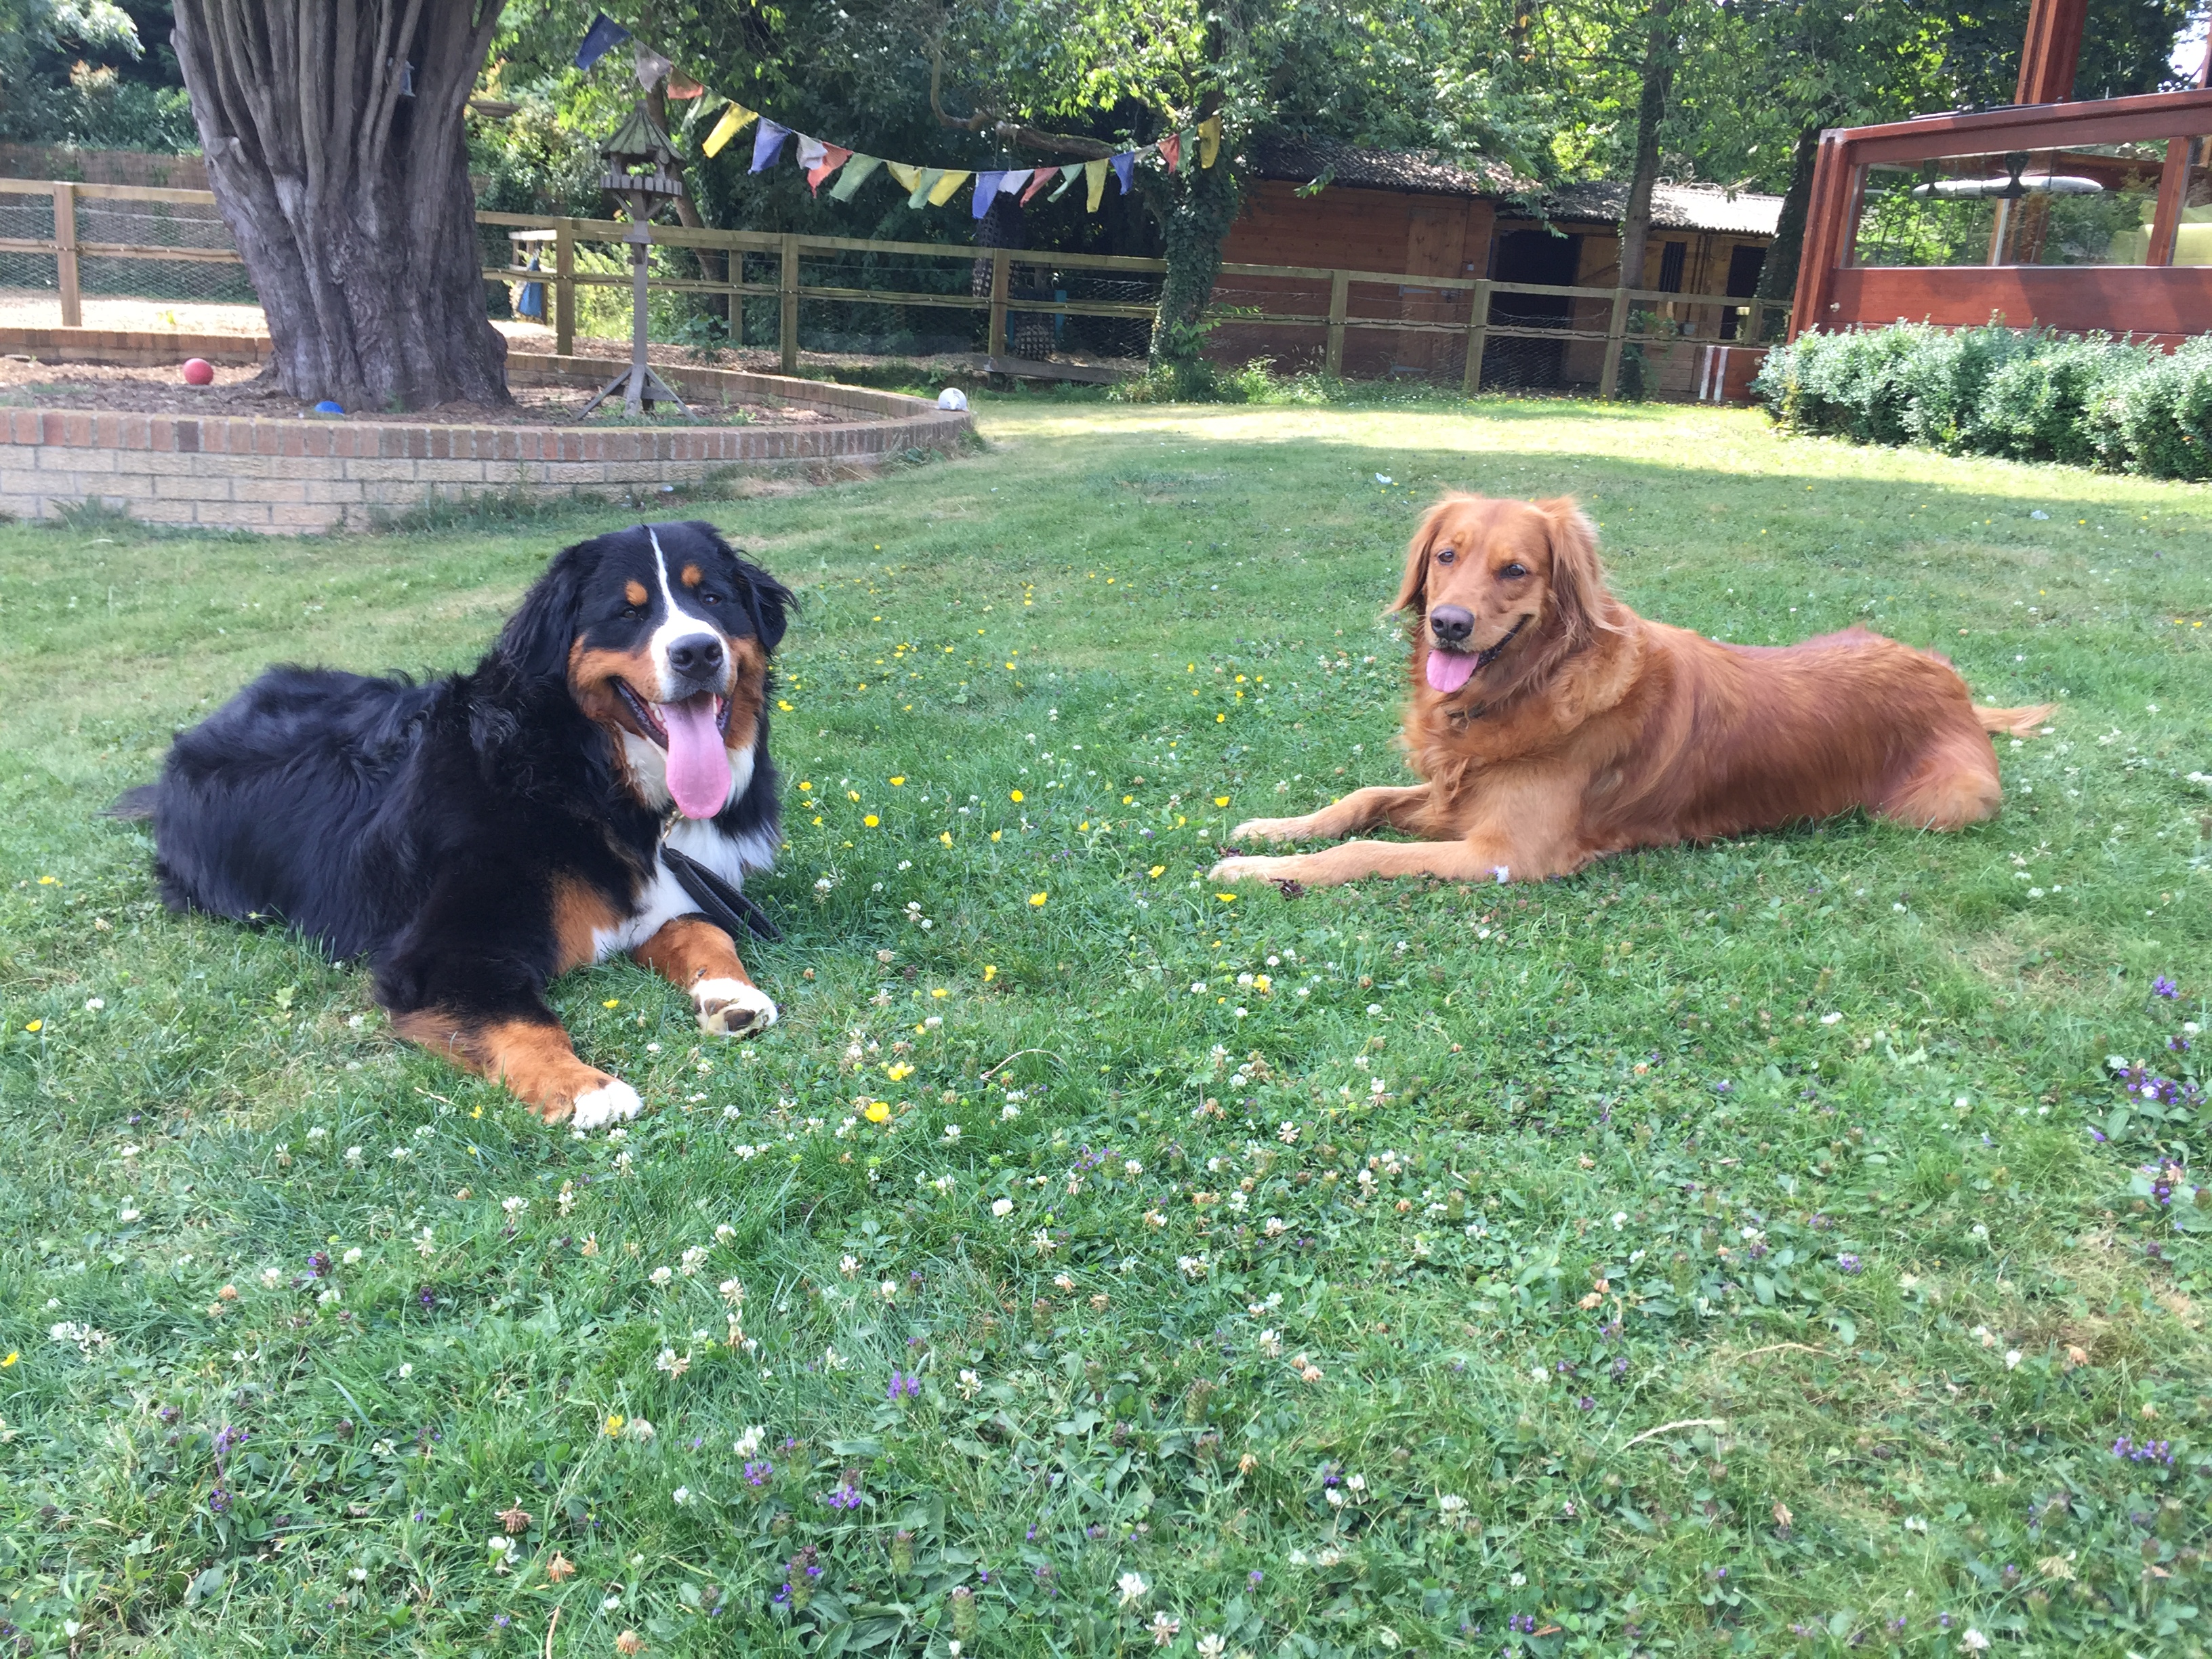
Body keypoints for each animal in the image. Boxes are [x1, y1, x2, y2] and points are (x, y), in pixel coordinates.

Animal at [115, 520, 793, 1128]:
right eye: (628, 613)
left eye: (713, 599)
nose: (697, 651)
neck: (583, 772)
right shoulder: (439, 954)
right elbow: (523, 1018)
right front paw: (584, 1088)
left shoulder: (664, 891)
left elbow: (703, 931)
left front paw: (730, 994)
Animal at [1212, 493, 2052, 889]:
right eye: (1446, 555)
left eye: (1515, 570)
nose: (1449, 626)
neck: (1532, 686)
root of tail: (1951, 682)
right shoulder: (1458, 796)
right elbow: (1360, 802)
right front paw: (1270, 830)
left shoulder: (1507, 852)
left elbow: (1364, 851)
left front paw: (1253, 871)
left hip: (1943, 804)